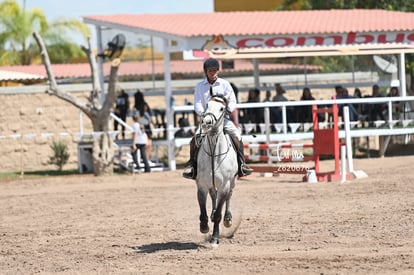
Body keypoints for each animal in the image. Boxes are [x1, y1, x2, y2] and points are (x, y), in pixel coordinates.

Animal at [197, 95, 239, 246]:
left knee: (229, 196)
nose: (206, 122)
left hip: (232, 182)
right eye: (207, 105)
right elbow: (202, 208)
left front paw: (215, 238)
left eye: (222, 108)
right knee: (213, 195)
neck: (214, 153)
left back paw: (228, 219)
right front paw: (204, 226)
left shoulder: (224, 186)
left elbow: (218, 214)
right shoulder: (202, 185)